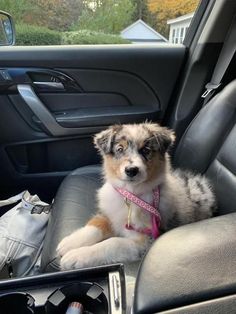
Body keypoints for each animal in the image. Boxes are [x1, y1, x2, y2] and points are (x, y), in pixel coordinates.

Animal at [57, 122, 216, 270]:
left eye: (146, 150)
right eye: (120, 149)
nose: (131, 170)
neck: (132, 194)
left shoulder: (145, 240)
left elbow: (113, 243)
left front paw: (76, 256)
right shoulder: (110, 213)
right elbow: (95, 225)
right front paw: (69, 243)